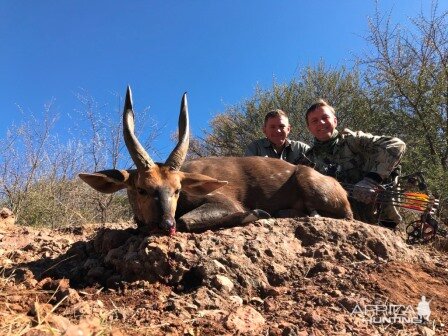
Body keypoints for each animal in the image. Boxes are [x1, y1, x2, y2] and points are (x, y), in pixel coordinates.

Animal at [80, 85, 354, 235]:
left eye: (177, 190)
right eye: (141, 189)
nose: (165, 224)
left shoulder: (224, 202)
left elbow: (187, 220)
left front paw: (257, 212)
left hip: (311, 183)